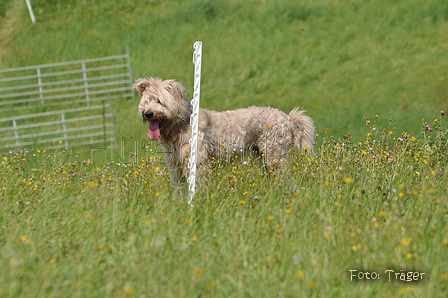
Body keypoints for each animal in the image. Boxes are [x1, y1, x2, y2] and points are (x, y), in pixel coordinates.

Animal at [133, 77, 316, 193]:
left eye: (159, 101)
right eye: (146, 101)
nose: (148, 113)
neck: (181, 123)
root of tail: (288, 119)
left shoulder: (198, 163)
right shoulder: (175, 165)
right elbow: (179, 189)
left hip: (275, 156)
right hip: (262, 156)